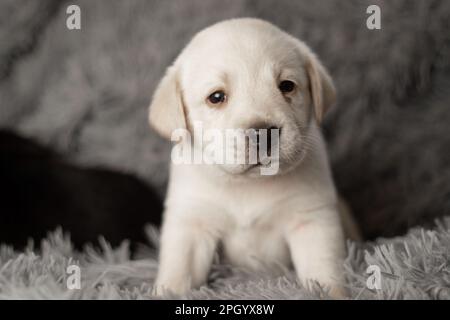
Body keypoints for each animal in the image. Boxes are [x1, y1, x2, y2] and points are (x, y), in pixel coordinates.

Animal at [149, 17, 360, 298]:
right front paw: (169, 291)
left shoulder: (312, 218)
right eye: (216, 97)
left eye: (287, 86)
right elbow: (178, 272)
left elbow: (324, 273)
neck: (249, 184)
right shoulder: (191, 223)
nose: (263, 133)